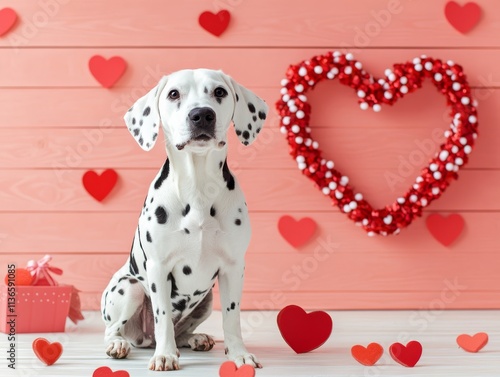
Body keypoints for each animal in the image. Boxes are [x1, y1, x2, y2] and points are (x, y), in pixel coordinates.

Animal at [99, 68, 268, 370]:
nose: (201, 114)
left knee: (182, 331)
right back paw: (120, 344)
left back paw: (194, 338)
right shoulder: (158, 268)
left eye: (219, 92)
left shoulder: (233, 268)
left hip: (207, 299)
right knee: (114, 330)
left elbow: (232, 317)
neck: (198, 188)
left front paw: (239, 354)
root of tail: (144, 339)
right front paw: (165, 355)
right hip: (129, 287)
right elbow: (163, 316)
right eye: (174, 94)